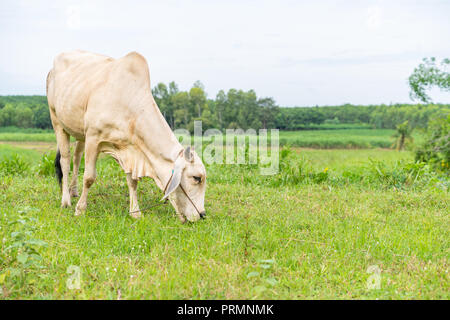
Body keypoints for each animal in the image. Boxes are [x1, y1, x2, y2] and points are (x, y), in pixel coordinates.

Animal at [45, 51, 207, 224]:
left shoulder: (129, 148)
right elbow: (89, 178)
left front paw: (135, 212)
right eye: (197, 178)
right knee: (65, 161)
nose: (202, 215)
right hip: (57, 122)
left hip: (79, 133)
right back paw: (66, 200)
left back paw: (73, 191)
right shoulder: (93, 137)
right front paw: (80, 209)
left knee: (76, 159)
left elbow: (133, 181)